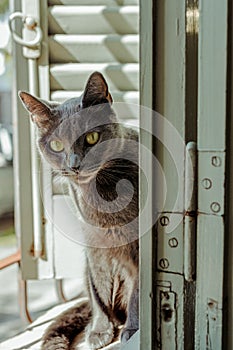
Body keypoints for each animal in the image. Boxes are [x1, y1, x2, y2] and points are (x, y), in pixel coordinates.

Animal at [19, 72, 138, 350]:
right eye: (56, 144)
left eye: (91, 138)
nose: (74, 165)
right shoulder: (93, 243)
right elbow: (98, 288)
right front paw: (99, 329)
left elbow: (137, 288)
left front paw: (133, 329)